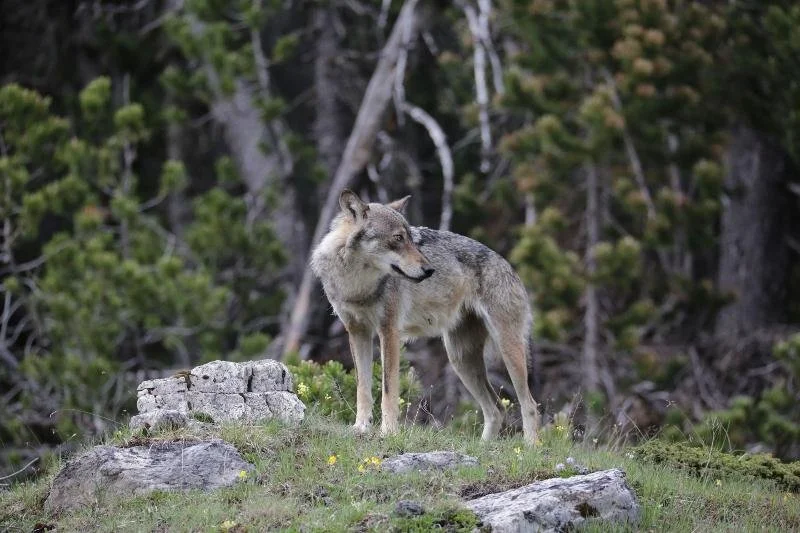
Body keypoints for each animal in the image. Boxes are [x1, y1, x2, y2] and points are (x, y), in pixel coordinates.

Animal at [311, 189, 540, 443]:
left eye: (411, 238)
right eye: (398, 238)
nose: (430, 270)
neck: (357, 285)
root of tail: (510, 267)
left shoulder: (389, 332)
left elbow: (388, 390)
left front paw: (388, 432)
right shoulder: (357, 332)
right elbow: (363, 388)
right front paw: (360, 428)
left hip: (507, 351)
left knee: (529, 404)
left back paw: (530, 447)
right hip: (461, 360)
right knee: (496, 409)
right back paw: (484, 447)